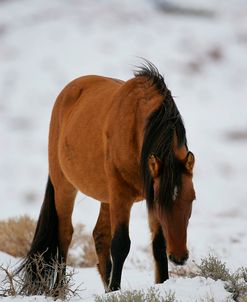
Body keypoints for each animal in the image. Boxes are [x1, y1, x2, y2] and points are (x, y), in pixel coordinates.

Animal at [18, 60, 196, 294]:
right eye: (160, 201)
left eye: (192, 199)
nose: (179, 257)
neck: (137, 128)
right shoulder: (123, 195)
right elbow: (120, 244)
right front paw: (116, 290)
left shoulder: (145, 192)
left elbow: (158, 245)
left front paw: (160, 284)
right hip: (64, 185)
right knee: (65, 234)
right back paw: (59, 291)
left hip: (105, 196)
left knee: (99, 237)